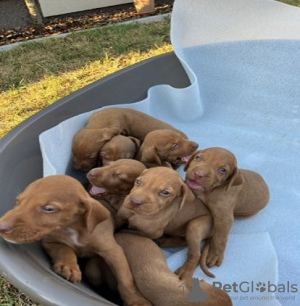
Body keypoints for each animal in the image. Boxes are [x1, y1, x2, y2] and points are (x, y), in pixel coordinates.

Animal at [0, 175, 150, 306]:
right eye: (18, 201)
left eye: (49, 209)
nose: (1, 226)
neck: (72, 229)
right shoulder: (50, 242)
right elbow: (64, 249)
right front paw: (69, 267)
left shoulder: (113, 251)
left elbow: (125, 279)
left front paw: (136, 301)